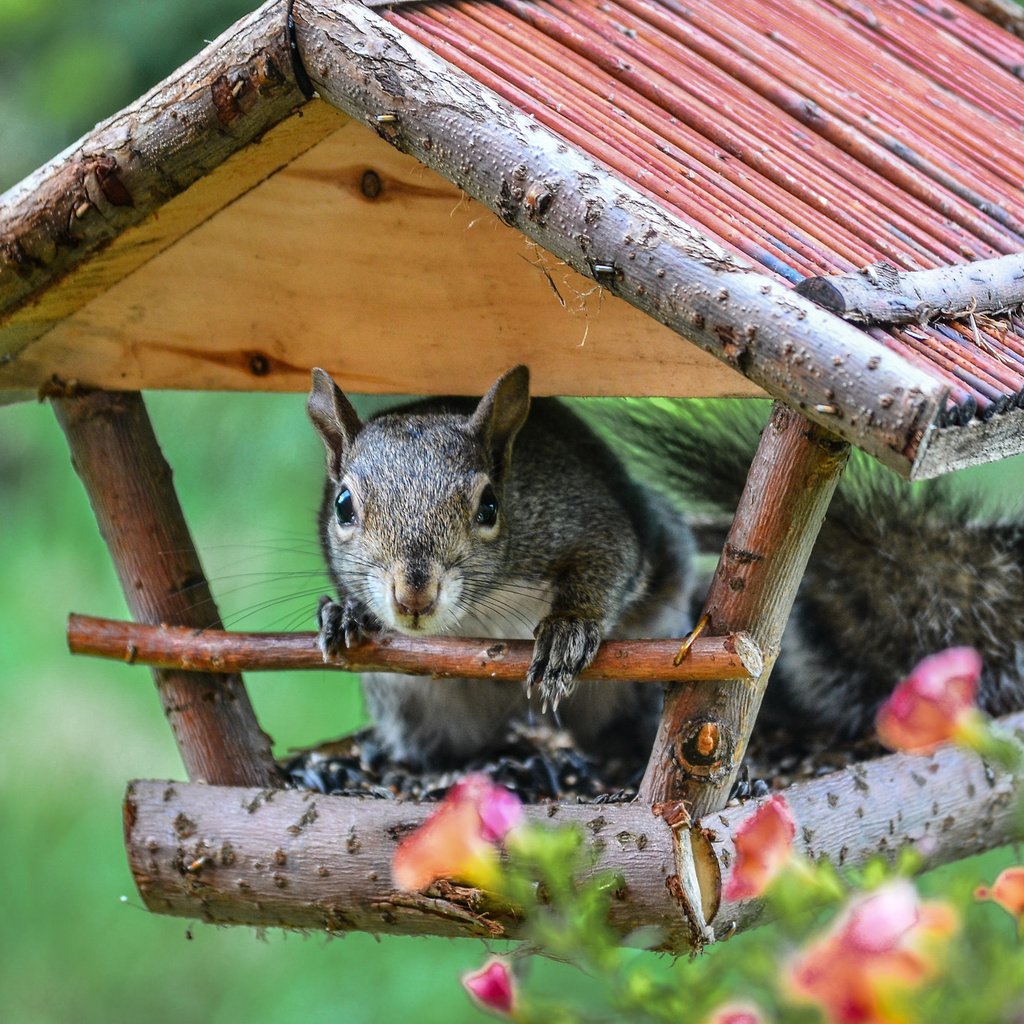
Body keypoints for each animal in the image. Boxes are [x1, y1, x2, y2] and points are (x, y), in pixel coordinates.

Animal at [305, 368, 696, 770]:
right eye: (342, 505)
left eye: (489, 506)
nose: (414, 597)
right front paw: (345, 613)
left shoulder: (582, 514)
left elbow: (610, 555)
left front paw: (568, 629)